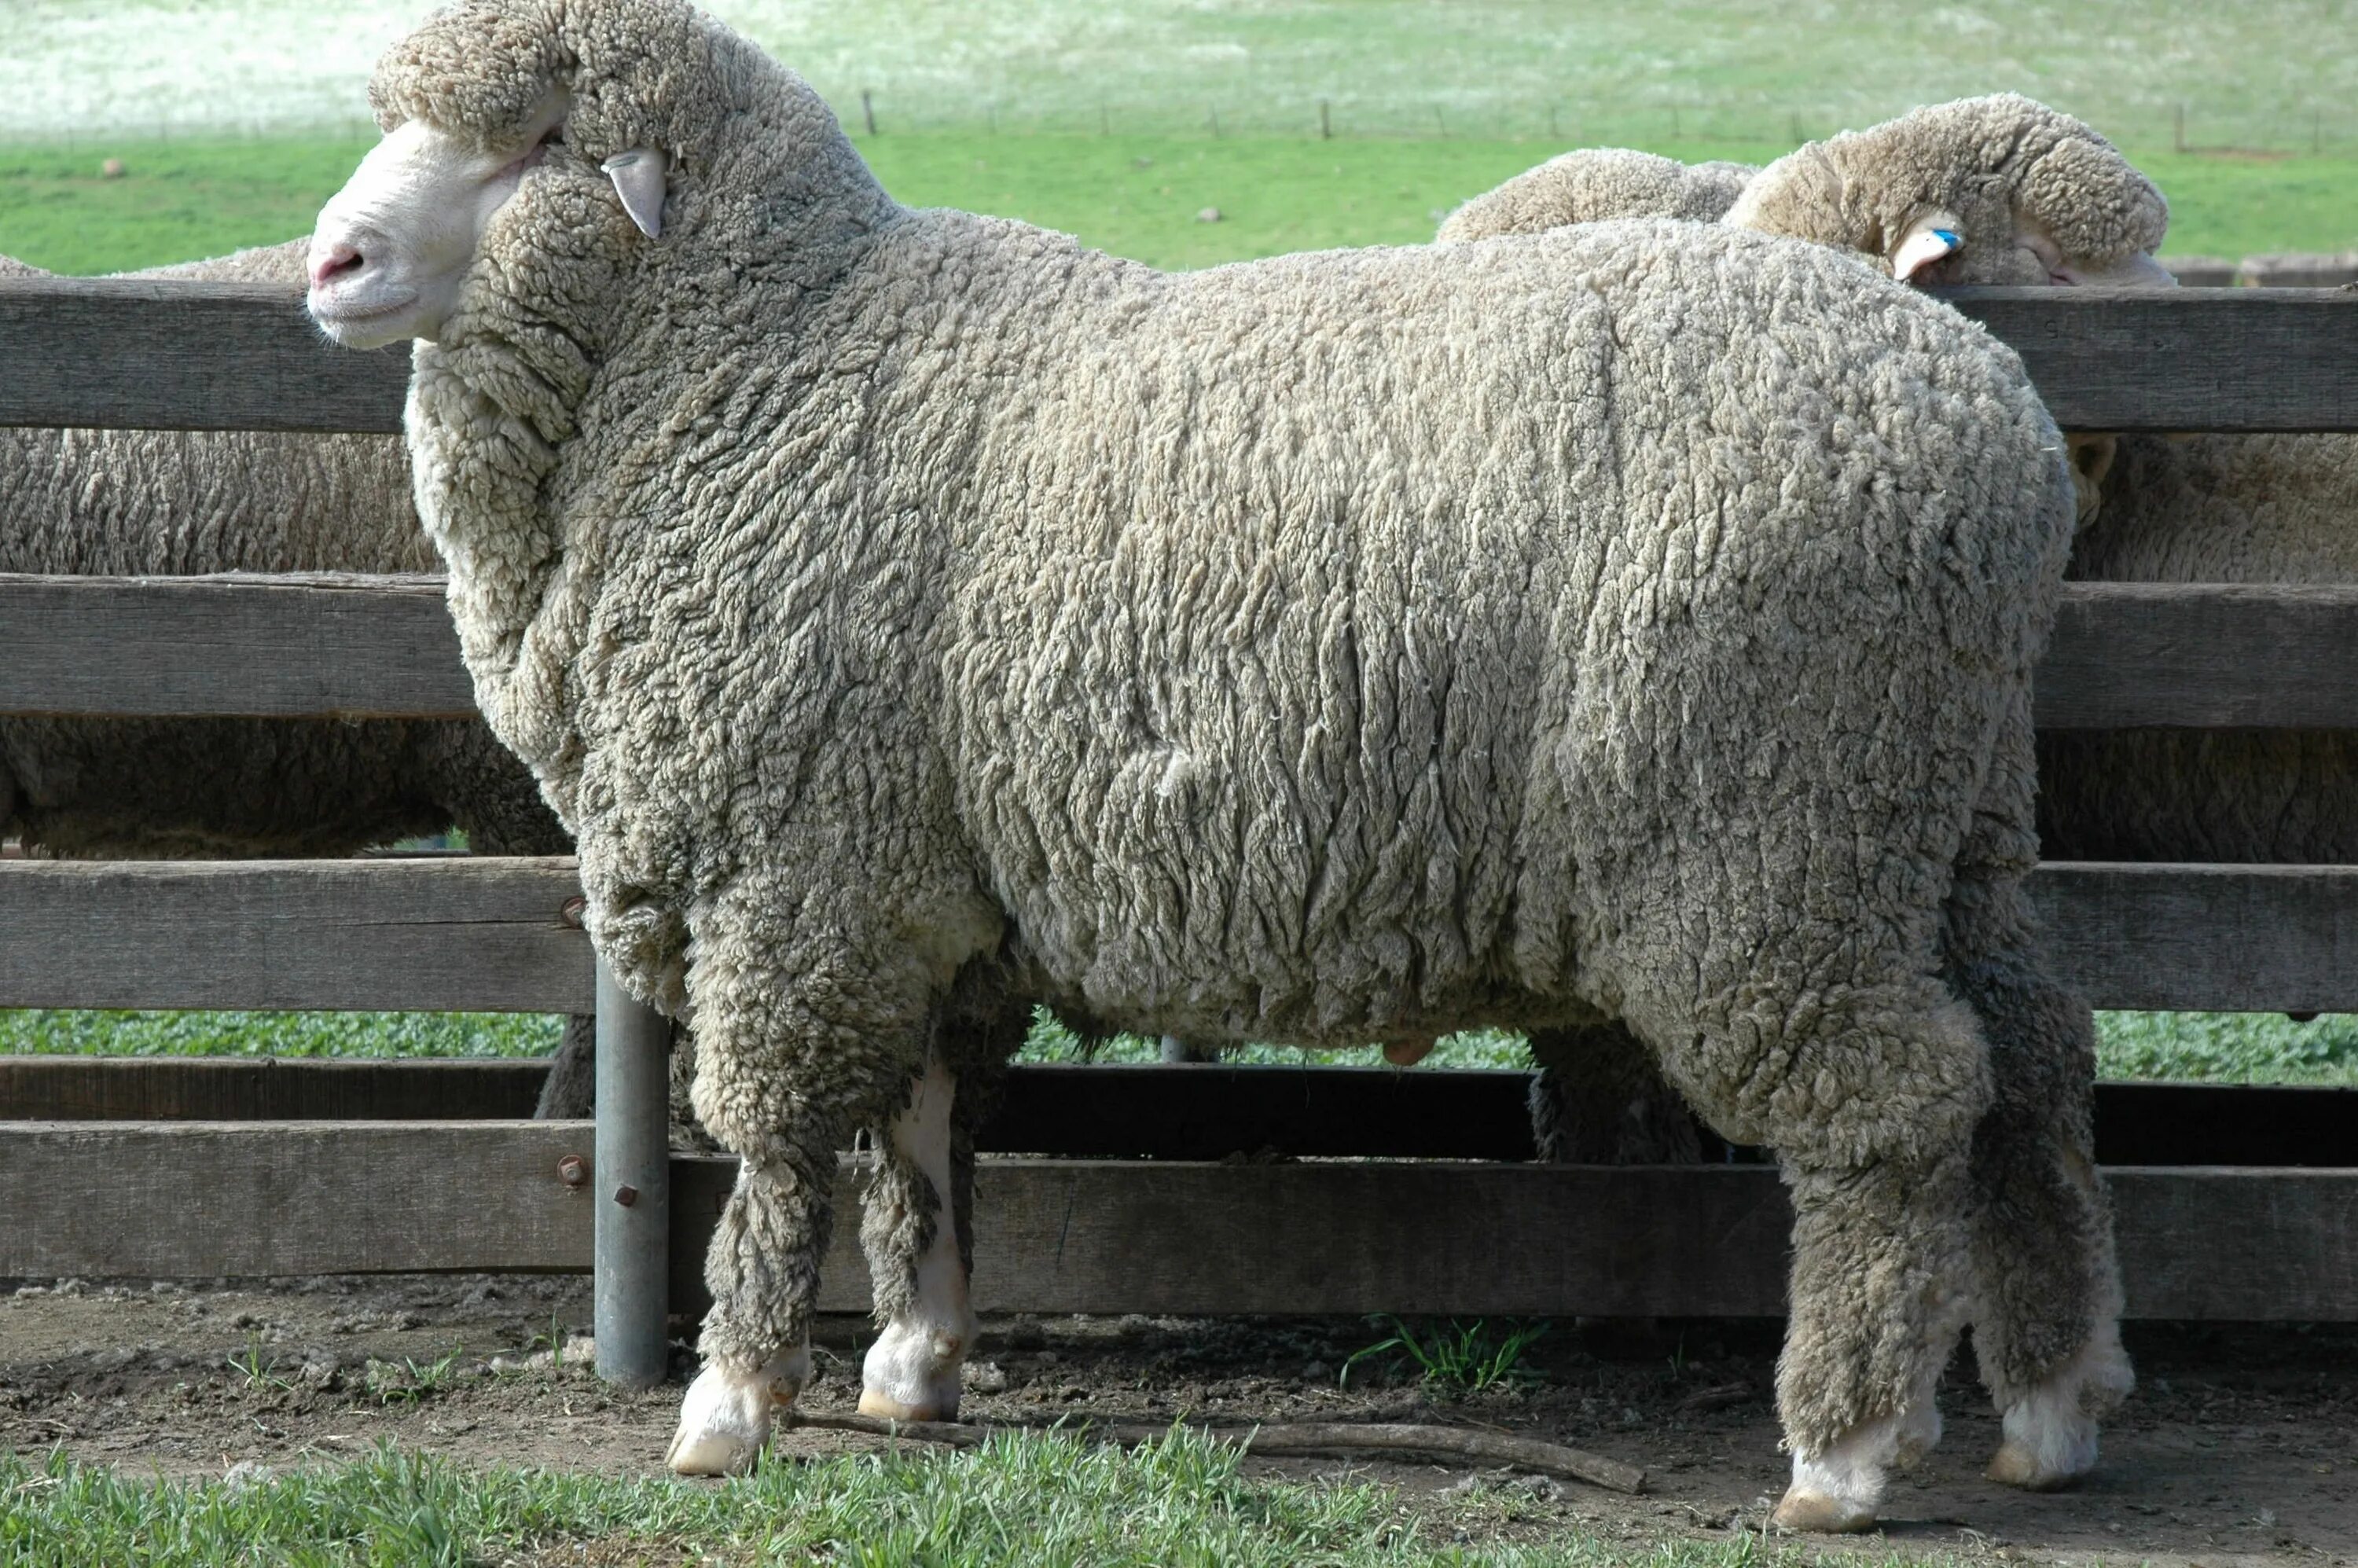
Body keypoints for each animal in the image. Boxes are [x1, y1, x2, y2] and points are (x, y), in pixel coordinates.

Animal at [299, 0, 2122, 1518]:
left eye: (537, 138)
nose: (329, 262)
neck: (764, 358)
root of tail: (1996, 416)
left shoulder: (799, 868)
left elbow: (777, 1147)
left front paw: (734, 1401)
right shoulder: (914, 873)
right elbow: (923, 1136)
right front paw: (914, 1365)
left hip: (1769, 826)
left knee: (1894, 1109)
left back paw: (1845, 1451)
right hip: (1941, 808)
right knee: (2035, 1056)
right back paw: (2050, 1402)